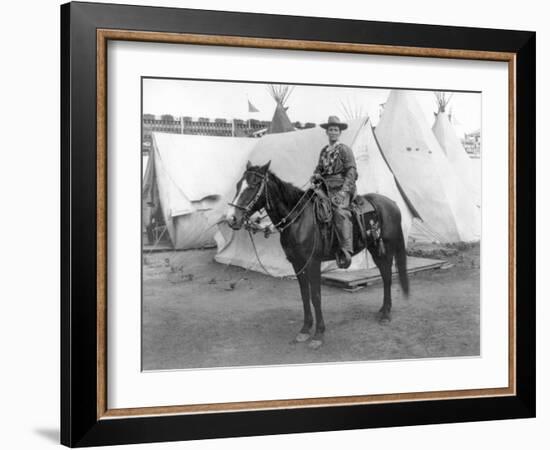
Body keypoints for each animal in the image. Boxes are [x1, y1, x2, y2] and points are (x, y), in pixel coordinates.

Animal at [224, 160, 410, 350]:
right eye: (238, 185)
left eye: (253, 185)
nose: (231, 219)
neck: (298, 219)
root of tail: (392, 203)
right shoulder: (297, 264)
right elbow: (304, 295)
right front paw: (305, 329)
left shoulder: (313, 263)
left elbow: (316, 296)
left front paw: (319, 334)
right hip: (374, 249)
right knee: (385, 274)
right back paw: (383, 309)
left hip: (385, 249)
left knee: (387, 276)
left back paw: (386, 314)